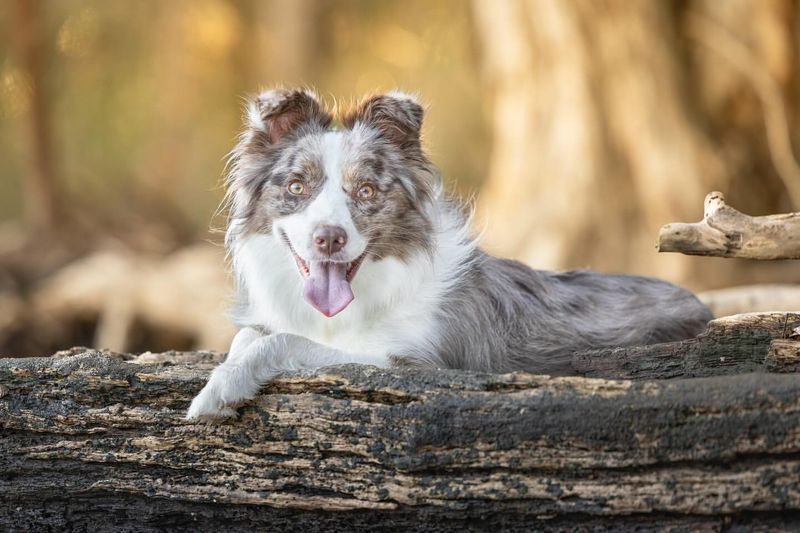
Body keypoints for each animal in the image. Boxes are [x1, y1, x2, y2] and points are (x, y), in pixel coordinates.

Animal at [188, 88, 712, 420]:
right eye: (297, 187)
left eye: (366, 191)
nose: (328, 239)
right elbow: (249, 336)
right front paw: (226, 371)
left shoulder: (416, 364)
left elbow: (284, 341)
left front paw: (219, 392)